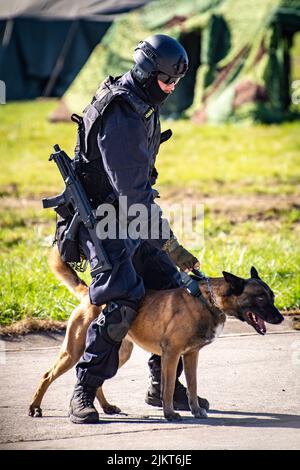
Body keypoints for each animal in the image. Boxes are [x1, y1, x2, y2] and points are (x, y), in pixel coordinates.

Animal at [28, 248, 284, 420]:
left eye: (271, 296)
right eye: (260, 298)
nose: (280, 319)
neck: (207, 299)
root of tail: (89, 293)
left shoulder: (191, 356)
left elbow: (192, 387)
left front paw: (195, 409)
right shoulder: (171, 355)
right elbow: (168, 387)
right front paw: (170, 413)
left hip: (119, 354)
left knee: (97, 378)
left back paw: (106, 406)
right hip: (73, 352)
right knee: (47, 375)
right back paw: (36, 407)